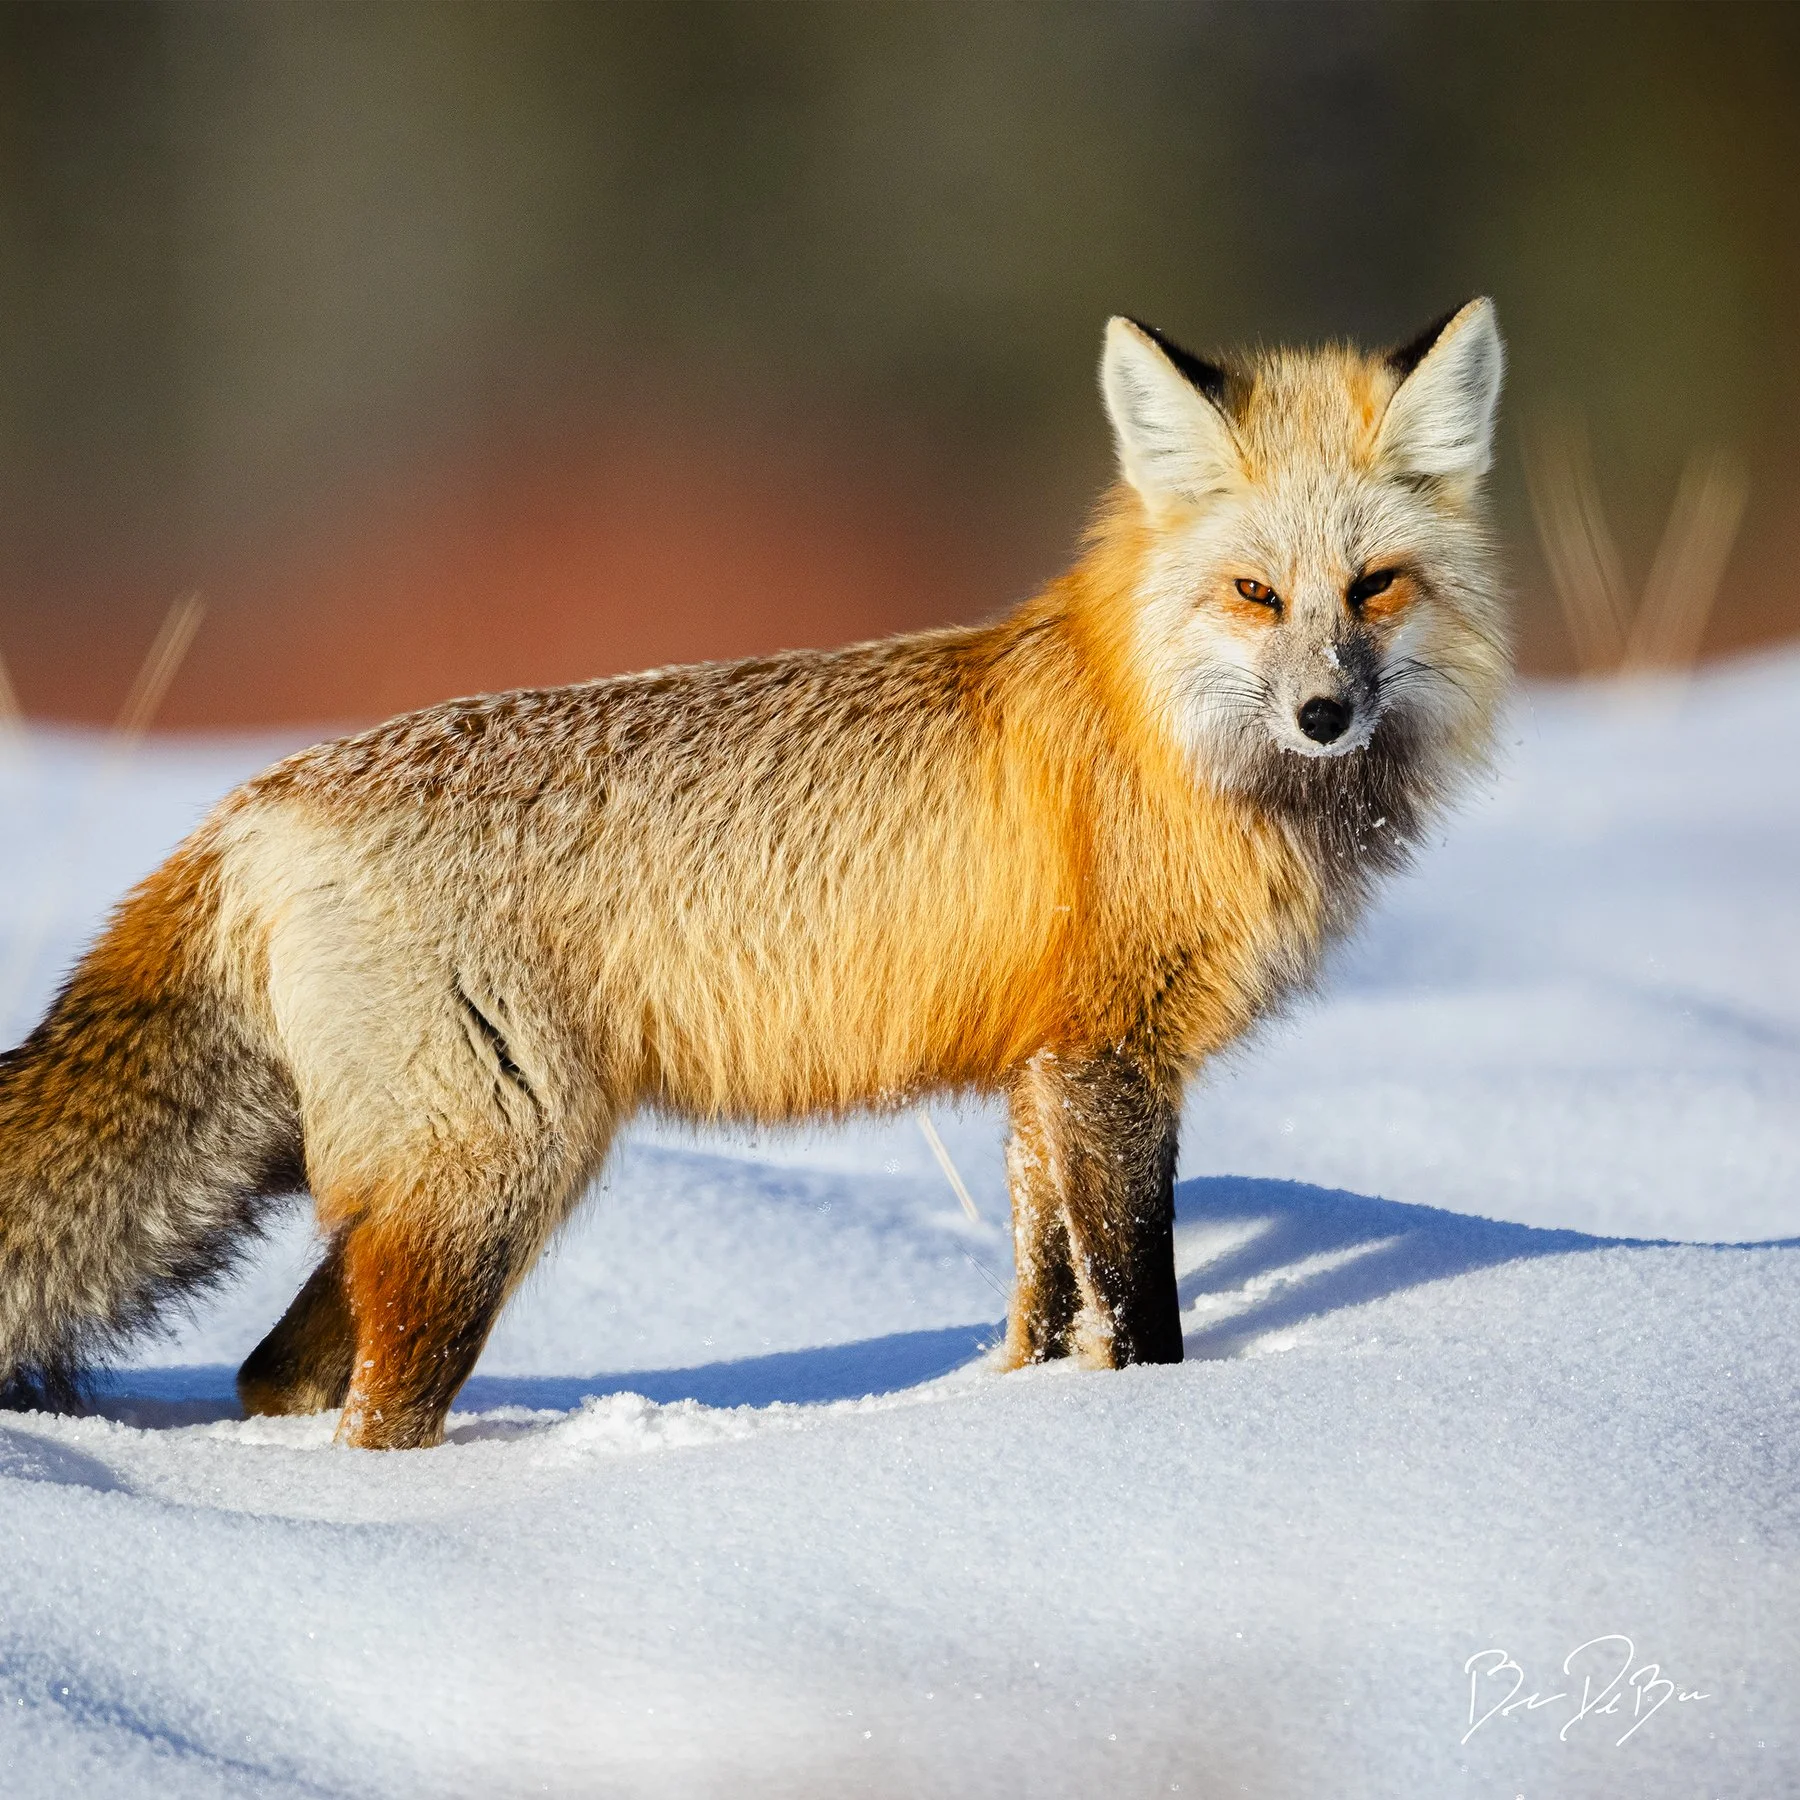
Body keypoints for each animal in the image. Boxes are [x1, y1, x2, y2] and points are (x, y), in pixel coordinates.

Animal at [0, 301, 1507, 1448]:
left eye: (1374, 587)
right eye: (1255, 594)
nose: (1325, 714)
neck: (1162, 735)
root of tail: (253, 804)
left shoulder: (1037, 1074)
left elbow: (1041, 1303)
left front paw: (1018, 1415)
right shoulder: (1110, 1062)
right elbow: (1138, 1313)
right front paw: (1144, 1433)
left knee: (274, 1375)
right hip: (489, 1184)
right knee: (370, 1410)